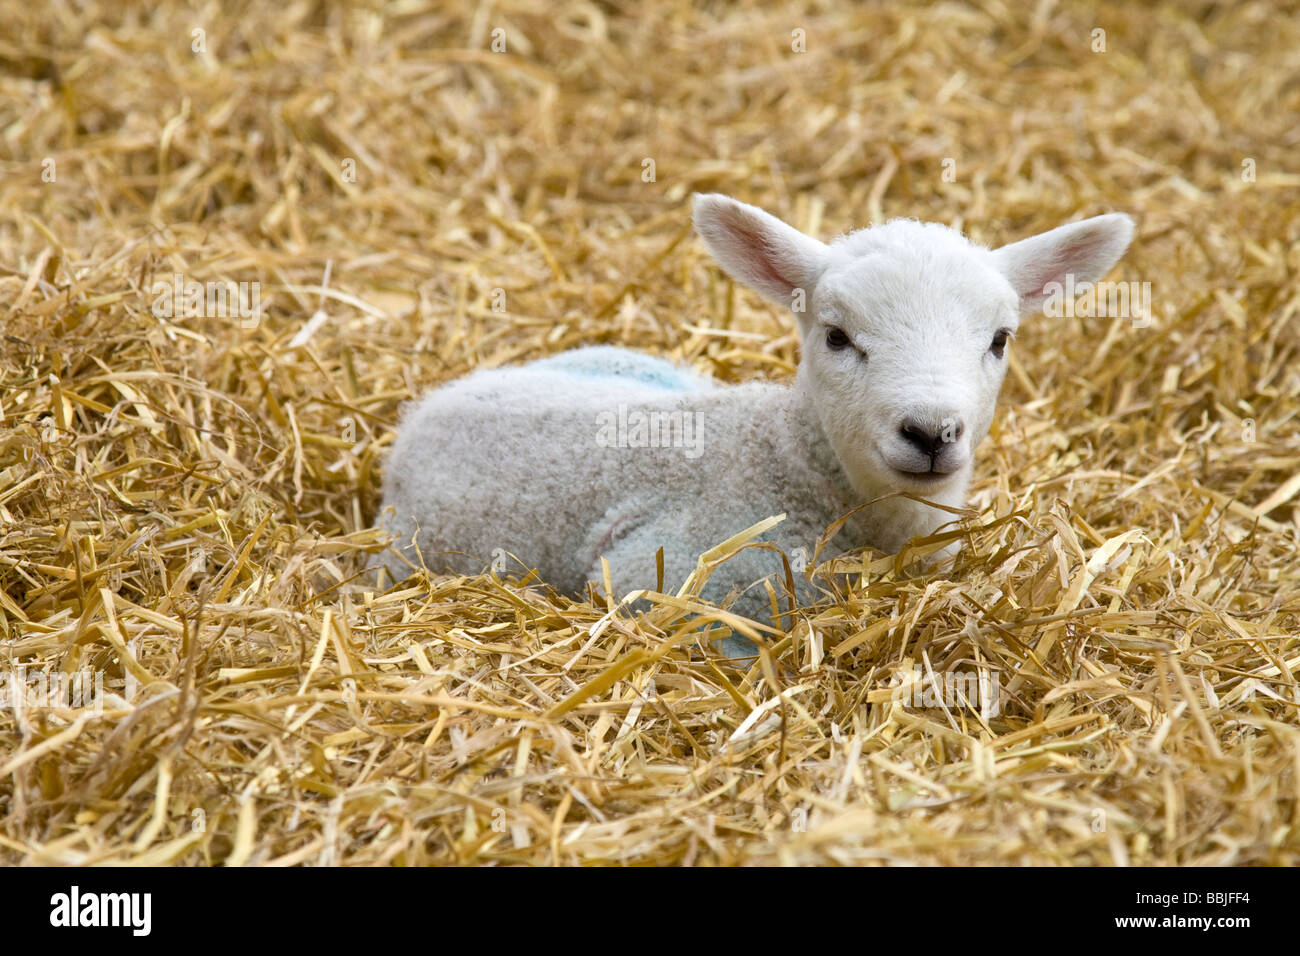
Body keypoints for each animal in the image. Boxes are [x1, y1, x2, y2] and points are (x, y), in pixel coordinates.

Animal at [378, 194, 1134, 657]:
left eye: (1000, 340)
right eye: (836, 336)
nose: (929, 432)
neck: (786, 457)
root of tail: (439, 400)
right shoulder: (653, 575)